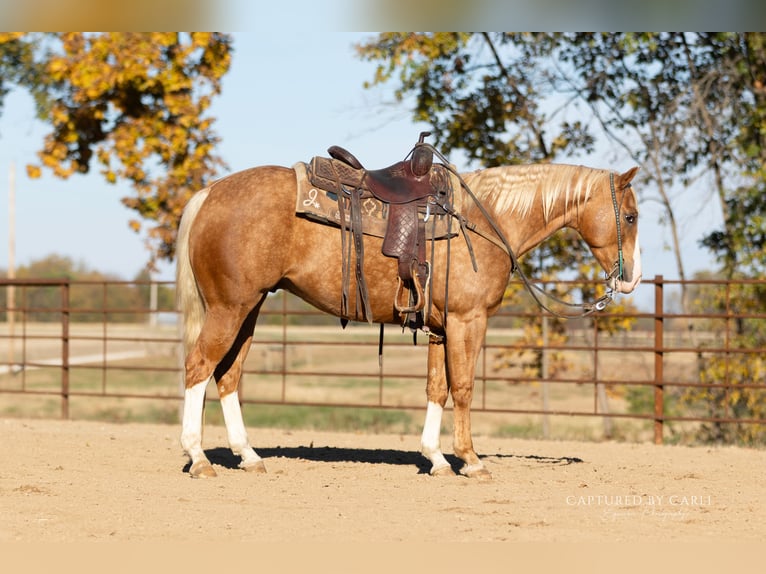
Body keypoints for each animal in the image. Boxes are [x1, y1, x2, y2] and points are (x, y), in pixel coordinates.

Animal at [175, 153, 642, 479]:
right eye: (631, 216)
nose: (632, 278)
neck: (483, 220)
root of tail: (208, 194)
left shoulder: (440, 328)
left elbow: (437, 388)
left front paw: (437, 459)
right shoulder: (467, 321)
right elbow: (464, 388)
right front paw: (471, 461)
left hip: (248, 309)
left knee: (227, 376)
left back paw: (249, 456)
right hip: (229, 309)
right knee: (199, 367)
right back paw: (198, 457)